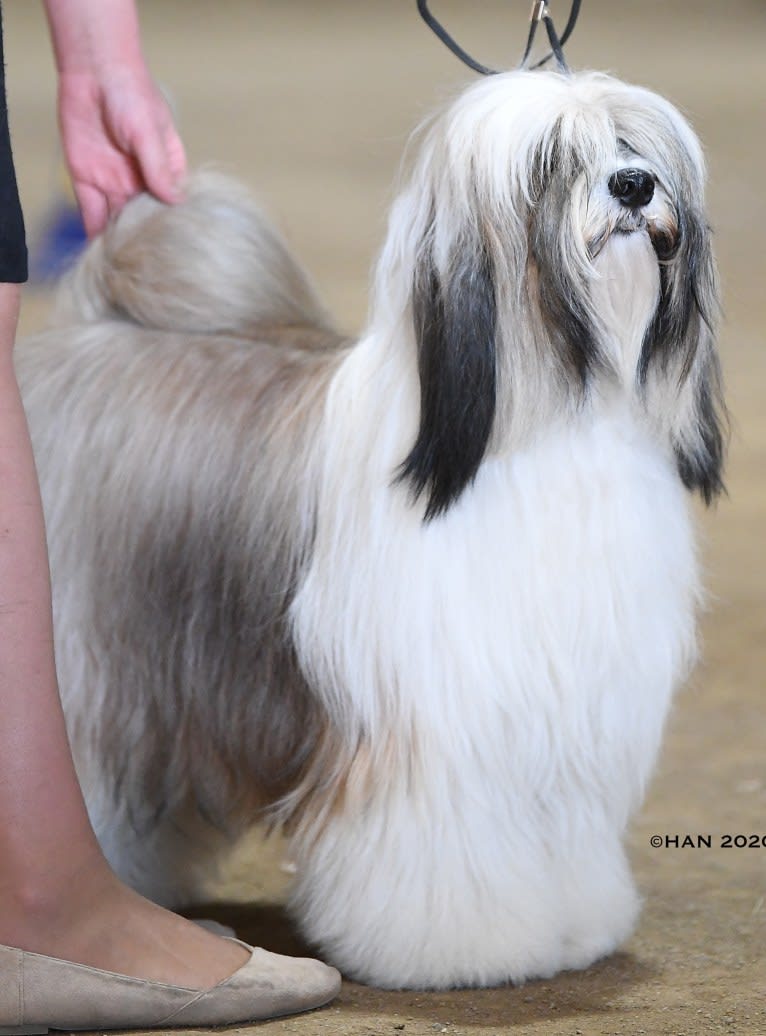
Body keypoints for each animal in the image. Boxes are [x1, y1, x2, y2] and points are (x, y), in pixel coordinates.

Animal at [18, 68, 725, 990]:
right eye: (549, 161)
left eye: (633, 147)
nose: (635, 186)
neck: (550, 423)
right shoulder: (434, 732)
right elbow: (442, 850)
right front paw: (466, 945)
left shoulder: (567, 721)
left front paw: (575, 927)